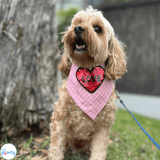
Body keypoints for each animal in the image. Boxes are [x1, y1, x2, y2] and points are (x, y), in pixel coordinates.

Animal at [47, 5, 126, 160]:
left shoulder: (103, 124)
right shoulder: (60, 116)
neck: (87, 68)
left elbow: (99, 148)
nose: (78, 28)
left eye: (97, 28)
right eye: (77, 22)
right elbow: (56, 144)